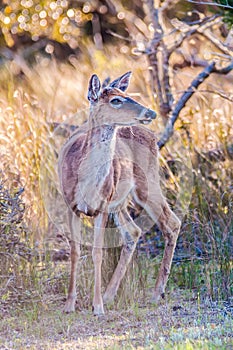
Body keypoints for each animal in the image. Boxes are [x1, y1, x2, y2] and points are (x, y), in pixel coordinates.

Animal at [57, 71, 180, 314]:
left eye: (127, 95)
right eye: (116, 100)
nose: (150, 112)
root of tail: (153, 136)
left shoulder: (102, 206)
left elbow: (97, 253)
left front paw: (97, 307)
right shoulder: (71, 206)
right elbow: (75, 252)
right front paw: (69, 305)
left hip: (147, 183)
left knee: (171, 222)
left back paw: (156, 293)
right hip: (120, 201)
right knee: (133, 231)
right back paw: (110, 294)